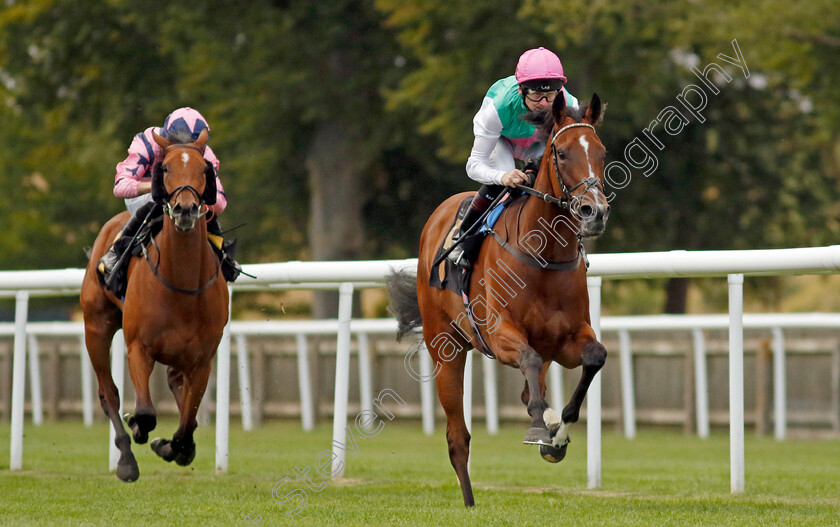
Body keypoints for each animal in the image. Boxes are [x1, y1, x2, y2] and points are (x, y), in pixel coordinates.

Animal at [80, 128, 228, 482]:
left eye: (205, 170)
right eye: (165, 169)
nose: (186, 209)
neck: (182, 286)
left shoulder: (203, 360)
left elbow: (187, 425)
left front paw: (173, 447)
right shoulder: (138, 348)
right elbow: (146, 412)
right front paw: (138, 427)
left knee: (177, 386)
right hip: (96, 326)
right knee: (108, 394)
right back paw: (125, 460)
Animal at [388, 93, 612, 506]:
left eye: (602, 152)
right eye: (561, 153)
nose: (596, 211)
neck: (544, 256)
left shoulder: (567, 339)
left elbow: (595, 356)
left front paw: (558, 431)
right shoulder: (498, 334)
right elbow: (527, 360)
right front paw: (541, 428)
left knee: (529, 387)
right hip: (445, 349)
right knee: (457, 437)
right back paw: (469, 501)